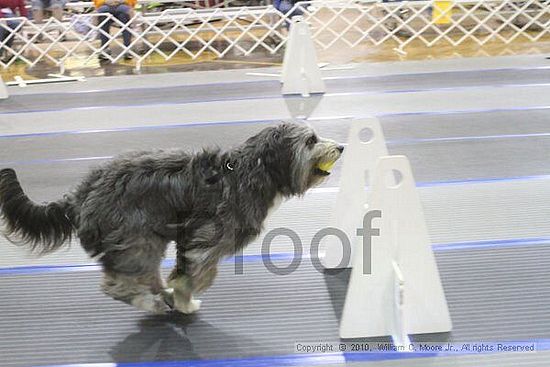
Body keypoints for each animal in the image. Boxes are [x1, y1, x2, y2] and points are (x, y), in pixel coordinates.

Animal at [0, 122, 342, 314]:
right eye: (311, 140)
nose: (340, 146)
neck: (252, 171)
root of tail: (80, 193)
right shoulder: (206, 240)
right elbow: (195, 276)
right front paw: (186, 302)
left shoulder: (188, 238)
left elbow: (183, 272)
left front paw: (177, 296)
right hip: (135, 240)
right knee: (116, 285)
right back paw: (149, 303)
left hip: (145, 240)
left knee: (144, 276)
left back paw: (159, 295)